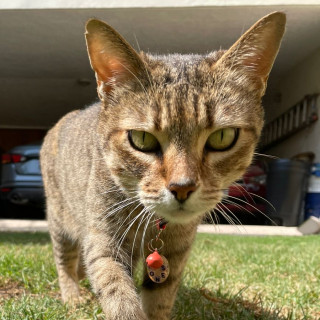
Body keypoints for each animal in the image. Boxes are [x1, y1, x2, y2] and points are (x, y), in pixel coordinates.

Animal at [39, 11, 284, 318]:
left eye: (223, 137)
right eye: (141, 139)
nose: (182, 187)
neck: (155, 227)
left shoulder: (177, 252)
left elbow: (160, 297)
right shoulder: (104, 240)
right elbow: (117, 292)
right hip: (60, 221)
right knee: (64, 261)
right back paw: (72, 295)